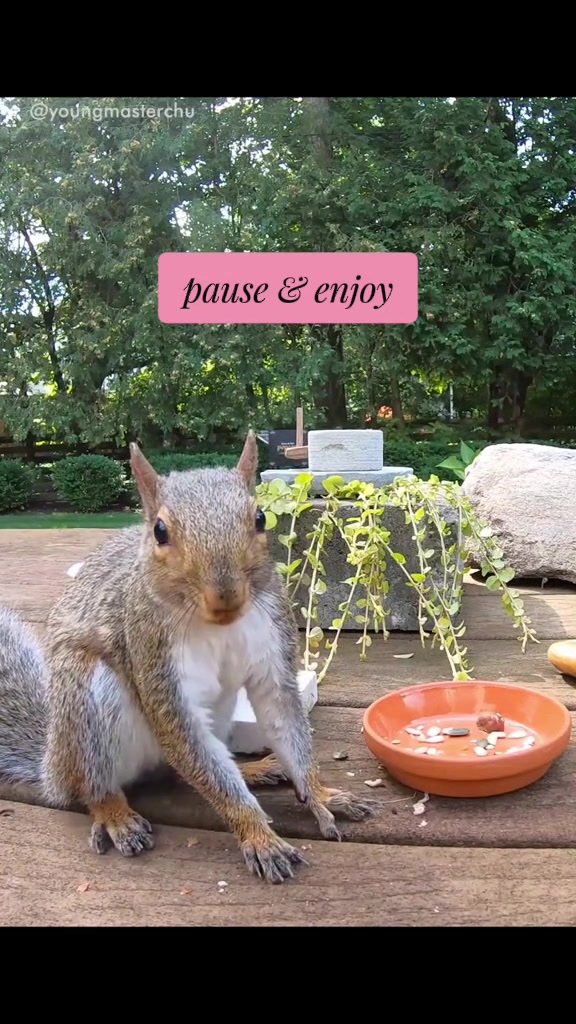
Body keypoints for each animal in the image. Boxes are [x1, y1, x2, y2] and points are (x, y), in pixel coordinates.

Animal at [0, 432, 374, 883]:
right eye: (160, 531)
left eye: (260, 518)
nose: (225, 594)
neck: (218, 626)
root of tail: (51, 764)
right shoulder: (153, 654)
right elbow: (185, 737)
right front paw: (259, 836)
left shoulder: (272, 645)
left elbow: (285, 720)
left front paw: (321, 794)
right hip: (87, 706)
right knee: (93, 787)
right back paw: (115, 814)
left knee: (186, 768)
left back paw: (252, 770)